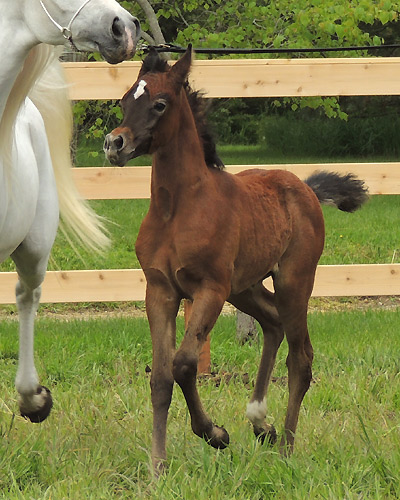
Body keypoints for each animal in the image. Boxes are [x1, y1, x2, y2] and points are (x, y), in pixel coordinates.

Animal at [104, 47, 368, 472]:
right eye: (126, 99)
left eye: (160, 104)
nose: (115, 143)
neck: (177, 209)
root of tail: (305, 188)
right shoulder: (160, 291)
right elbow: (160, 377)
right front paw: (158, 466)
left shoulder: (209, 288)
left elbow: (184, 363)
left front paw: (215, 434)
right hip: (244, 287)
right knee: (273, 324)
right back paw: (261, 423)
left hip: (292, 282)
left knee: (301, 356)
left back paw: (286, 447)